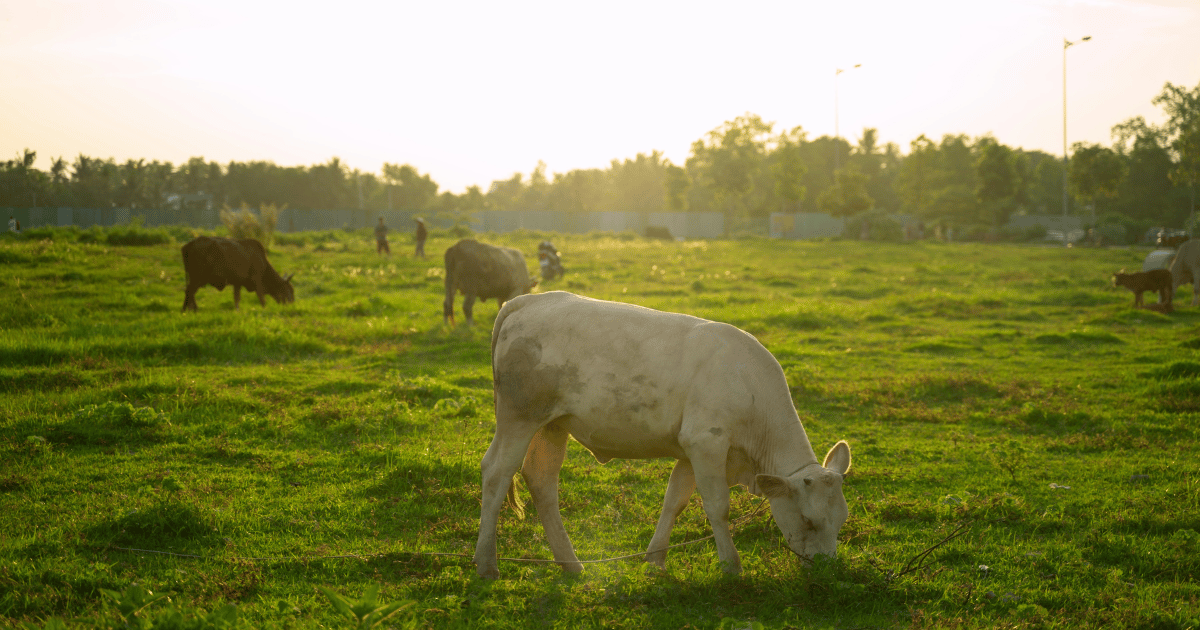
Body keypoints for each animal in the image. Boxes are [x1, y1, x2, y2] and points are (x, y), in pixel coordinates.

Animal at [470, 292, 854, 578]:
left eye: (841, 520)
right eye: (809, 520)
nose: (826, 568)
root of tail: (528, 300)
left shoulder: (690, 450)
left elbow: (675, 500)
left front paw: (655, 558)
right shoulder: (707, 441)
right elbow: (717, 506)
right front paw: (731, 565)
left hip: (552, 425)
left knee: (541, 479)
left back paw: (571, 564)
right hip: (519, 416)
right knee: (497, 472)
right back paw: (487, 563)